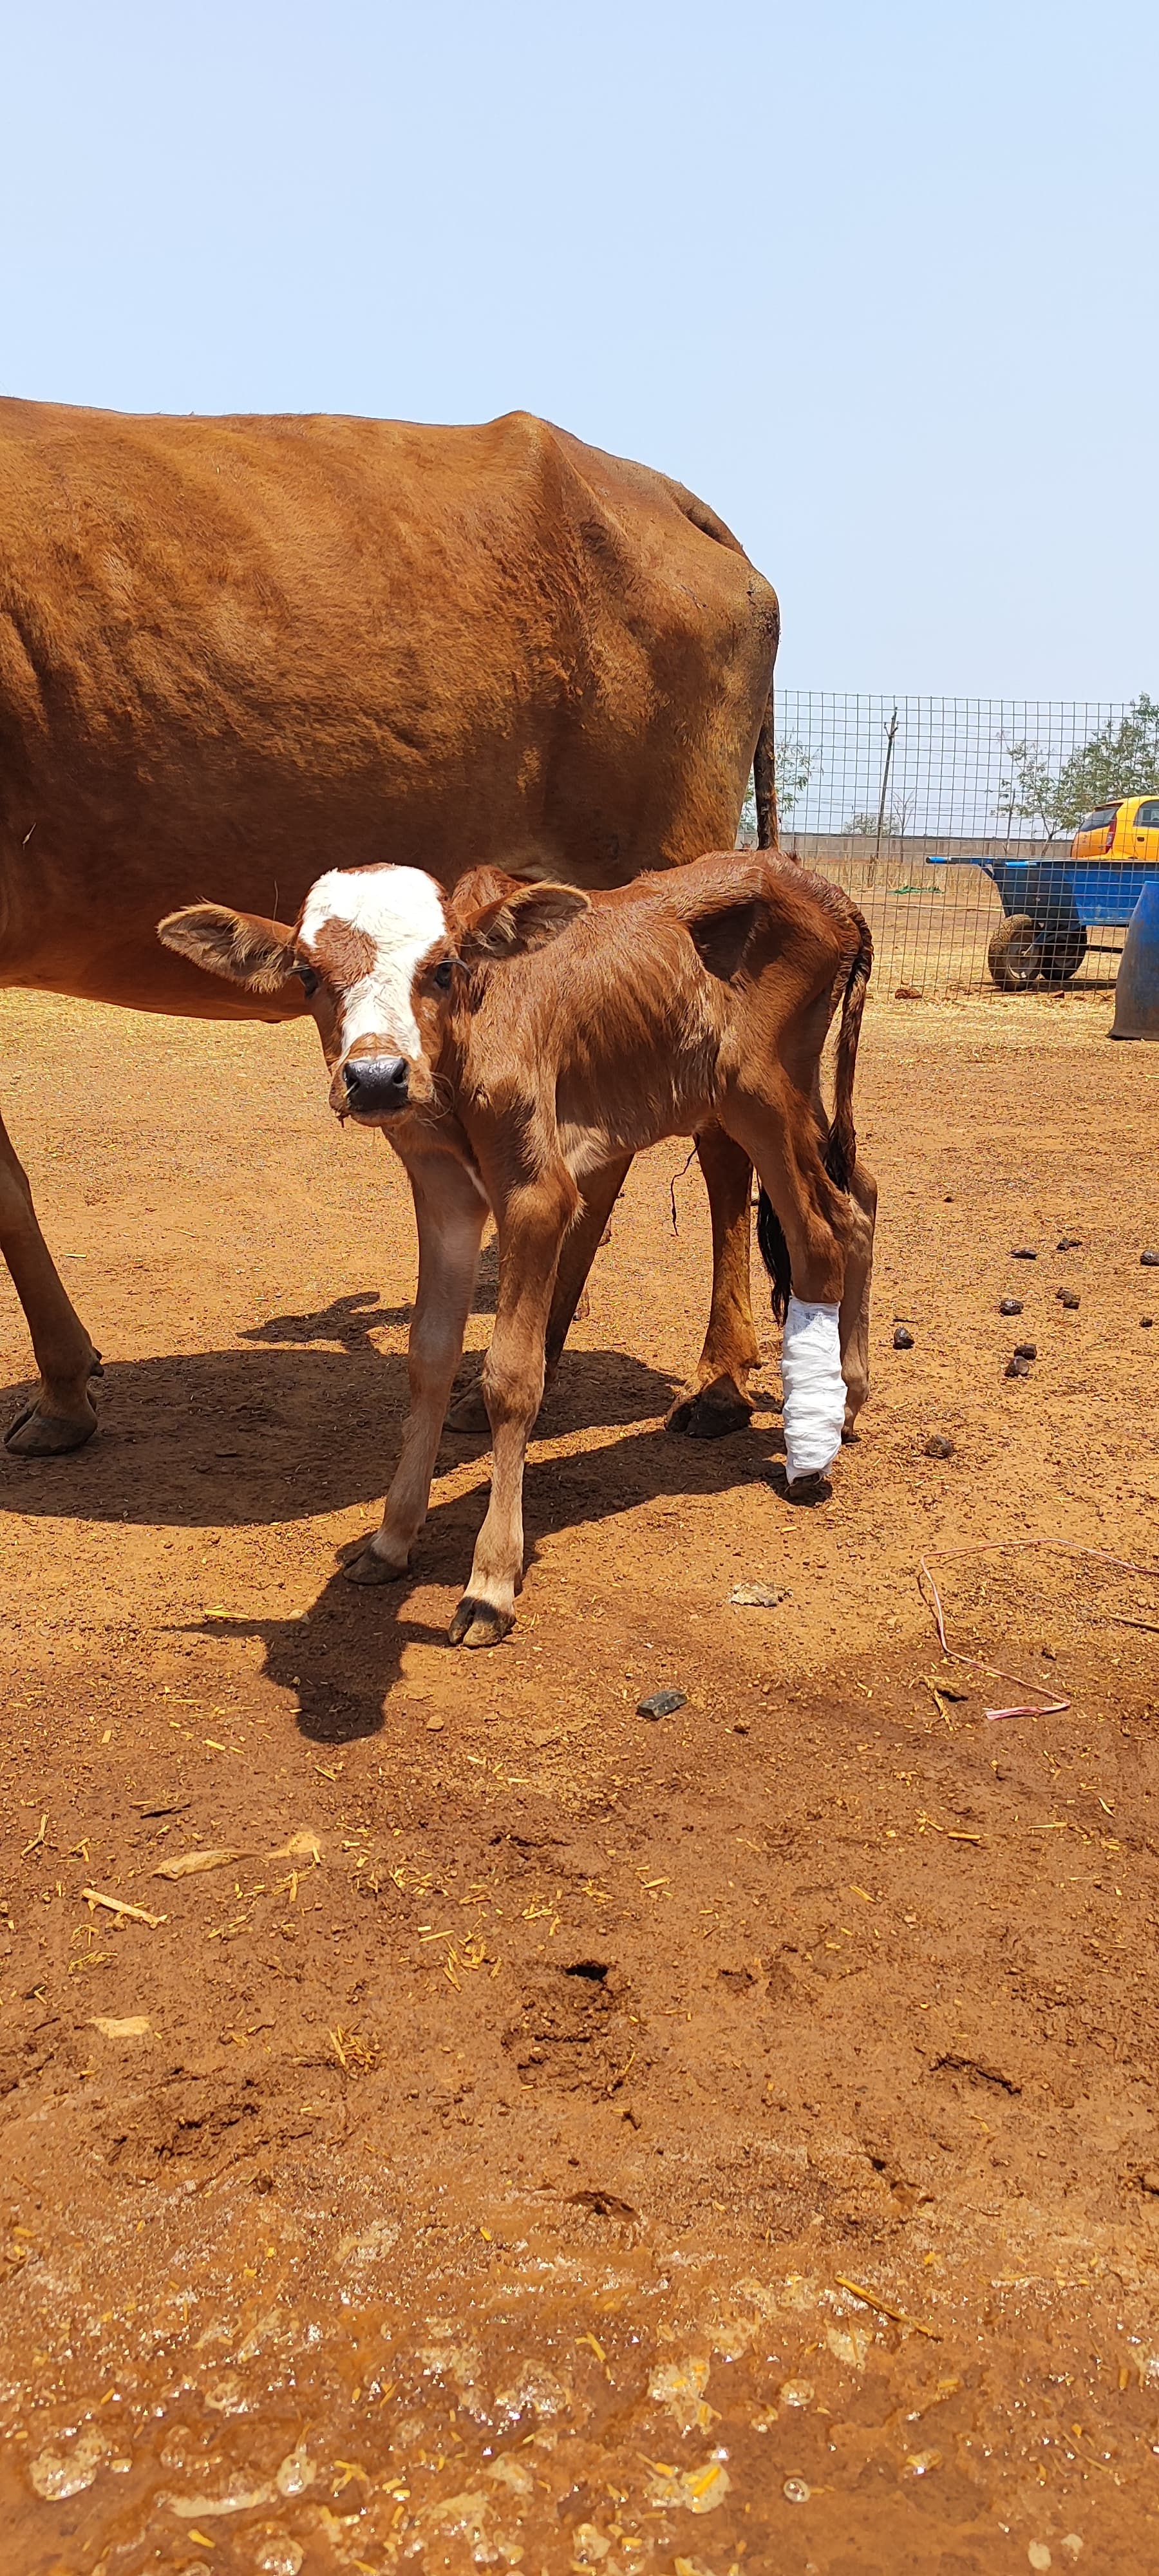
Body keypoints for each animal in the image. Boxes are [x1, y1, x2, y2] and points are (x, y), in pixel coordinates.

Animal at [159, 853, 876, 1646]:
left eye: (443, 966)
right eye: (308, 973)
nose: (376, 1078)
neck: (467, 1042)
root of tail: (823, 890)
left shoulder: (538, 1194)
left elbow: (511, 1377)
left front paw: (490, 1583)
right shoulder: (443, 1194)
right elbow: (428, 1358)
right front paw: (391, 1539)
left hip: (760, 1092)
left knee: (820, 1234)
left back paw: (811, 1449)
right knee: (858, 1204)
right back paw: (847, 1402)